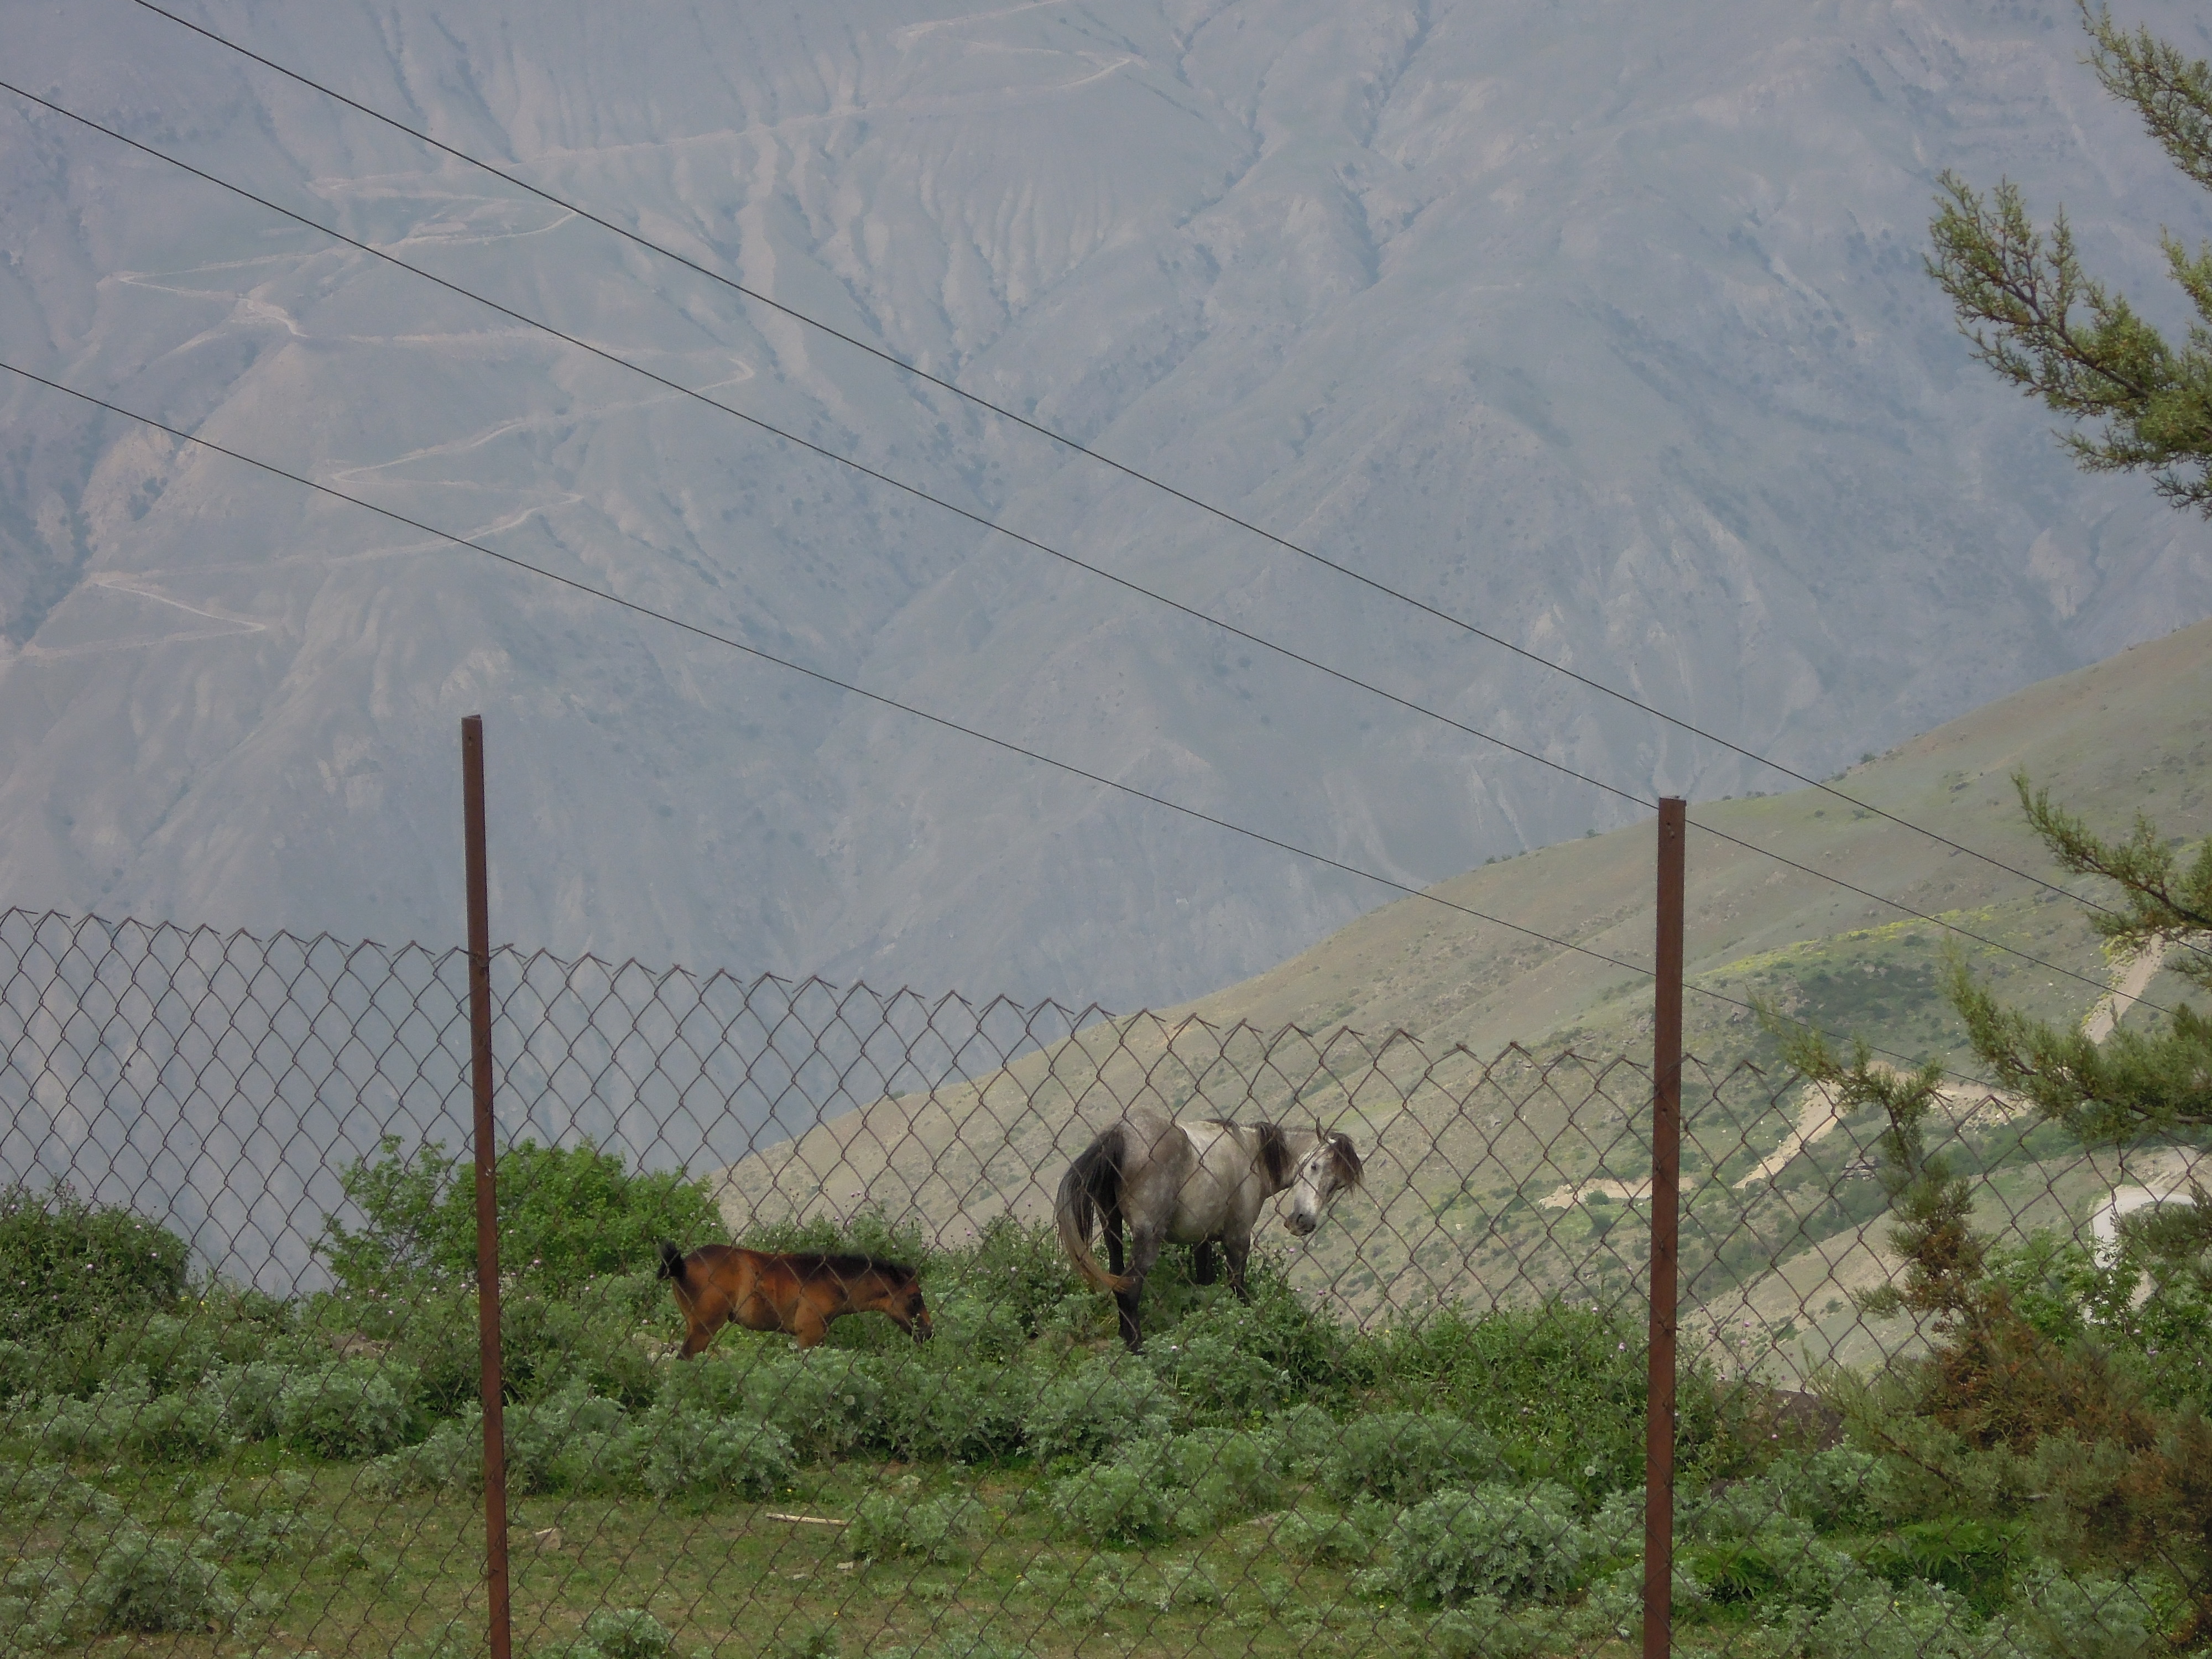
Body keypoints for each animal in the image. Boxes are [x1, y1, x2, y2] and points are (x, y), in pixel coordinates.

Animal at [655, 1239, 933, 1354]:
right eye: (914, 1298)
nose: (929, 1332)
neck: (829, 1278)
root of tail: (681, 1265)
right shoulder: (809, 1333)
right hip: (704, 1327)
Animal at [1057, 1110, 1363, 1354]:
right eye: (1314, 1166)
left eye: (1336, 1185)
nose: (1303, 1222)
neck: (1252, 1153)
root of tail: (1120, 1134)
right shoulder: (1237, 1239)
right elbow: (1239, 1288)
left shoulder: (1201, 1241)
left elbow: (1204, 1285)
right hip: (1147, 1239)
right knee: (1131, 1288)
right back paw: (1137, 1349)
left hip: (1112, 1227)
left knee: (1119, 1280)